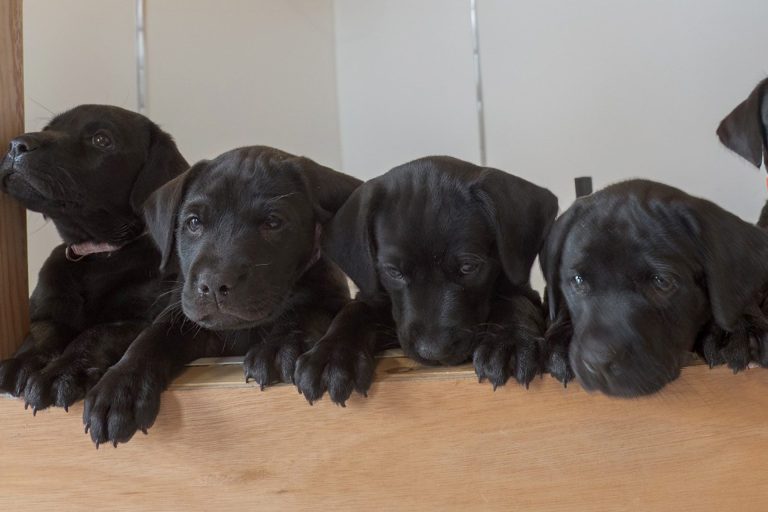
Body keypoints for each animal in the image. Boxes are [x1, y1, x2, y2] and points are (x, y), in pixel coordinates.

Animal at [0, 105, 188, 412]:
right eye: (50, 127)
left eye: (101, 140)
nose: (16, 145)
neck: (98, 256)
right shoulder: (45, 309)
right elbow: (41, 332)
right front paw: (19, 363)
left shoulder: (141, 318)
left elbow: (94, 335)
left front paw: (60, 374)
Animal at [84, 146, 360, 446]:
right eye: (193, 222)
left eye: (273, 222)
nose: (214, 284)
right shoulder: (183, 319)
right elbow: (150, 337)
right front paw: (119, 386)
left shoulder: (330, 296)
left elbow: (307, 310)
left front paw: (278, 347)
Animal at [294, 156, 560, 404]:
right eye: (394, 272)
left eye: (468, 267)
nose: (433, 352)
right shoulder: (377, 299)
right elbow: (354, 310)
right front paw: (332, 356)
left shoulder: (521, 287)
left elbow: (515, 301)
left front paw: (510, 342)